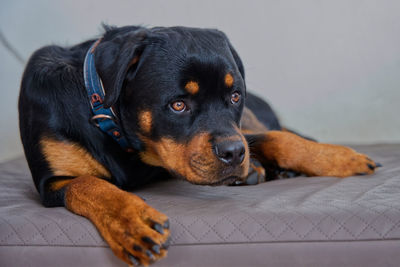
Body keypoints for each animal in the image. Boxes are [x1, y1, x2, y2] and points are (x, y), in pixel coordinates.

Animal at [19, 24, 382, 266]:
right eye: (178, 105)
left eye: (234, 96)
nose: (234, 155)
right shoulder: (52, 183)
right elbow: (90, 185)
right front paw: (132, 222)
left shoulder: (236, 131)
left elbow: (278, 139)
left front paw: (339, 158)